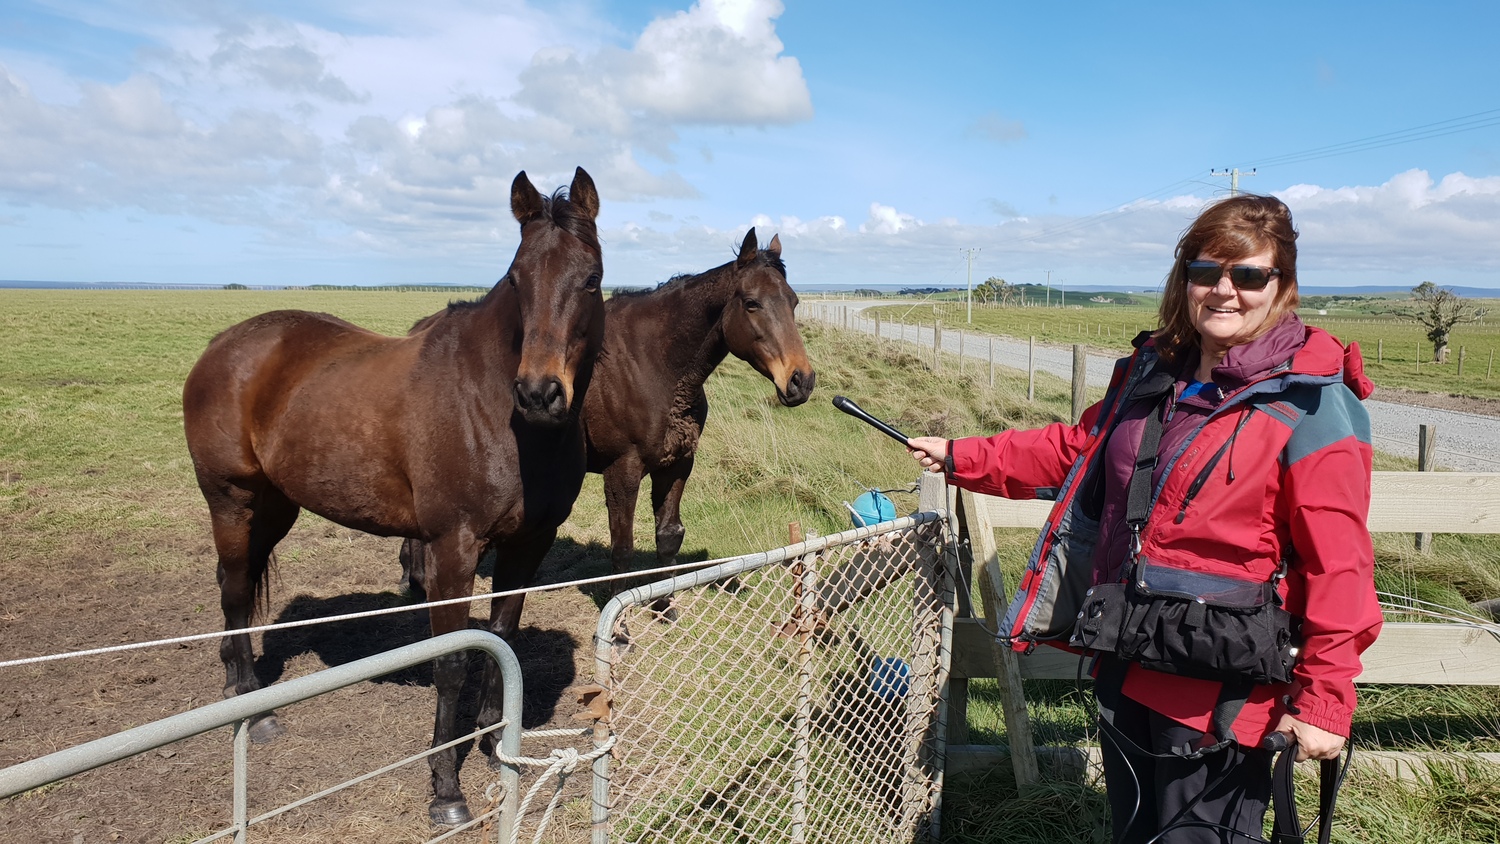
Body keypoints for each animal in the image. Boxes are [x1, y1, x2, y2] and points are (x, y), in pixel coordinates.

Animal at [181, 167, 605, 826]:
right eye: (516, 279)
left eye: (590, 279)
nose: (539, 393)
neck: (491, 407)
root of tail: (223, 345)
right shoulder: (453, 548)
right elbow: (454, 659)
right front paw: (446, 788)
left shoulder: (528, 546)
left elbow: (501, 641)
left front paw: (495, 751)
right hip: (232, 501)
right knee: (232, 589)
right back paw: (255, 711)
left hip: (275, 507)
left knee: (240, 583)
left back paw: (235, 689)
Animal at [398, 227, 814, 594]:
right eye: (751, 303)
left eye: (794, 302)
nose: (801, 380)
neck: (656, 365)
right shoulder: (622, 470)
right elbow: (623, 549)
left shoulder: (678, 463)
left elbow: (668, 537)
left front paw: (666, 607)